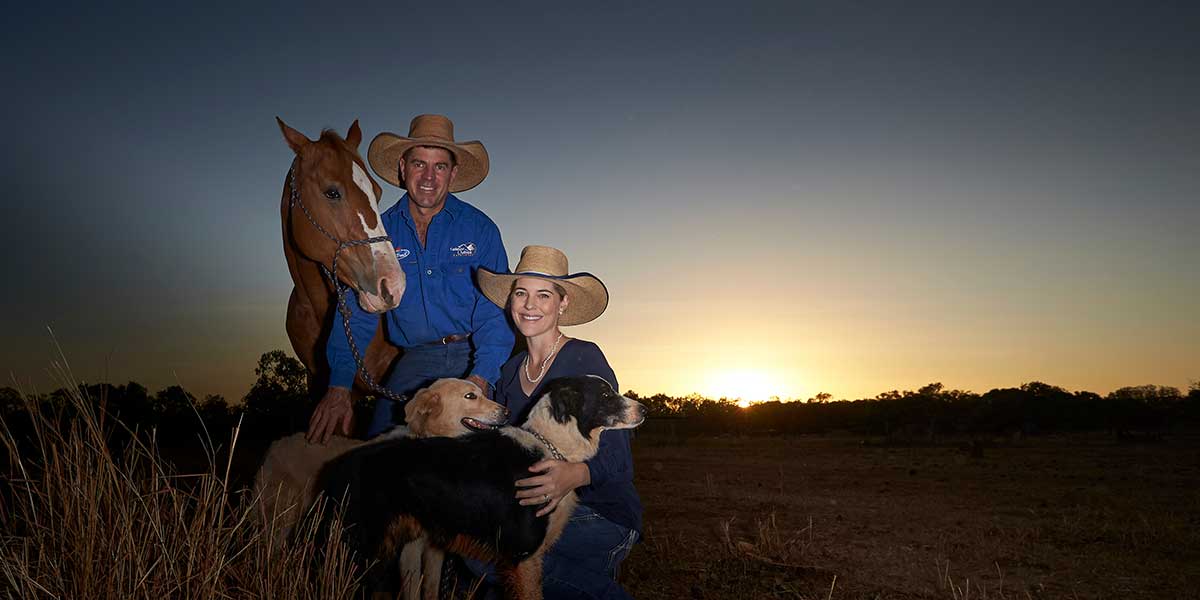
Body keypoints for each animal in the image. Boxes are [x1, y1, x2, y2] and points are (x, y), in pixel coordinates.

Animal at [319, 374, 648, 600]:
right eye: (605, 394)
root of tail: (346, 461)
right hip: (364, 544)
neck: (550, 446)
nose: (644, 409)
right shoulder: (522, 554)